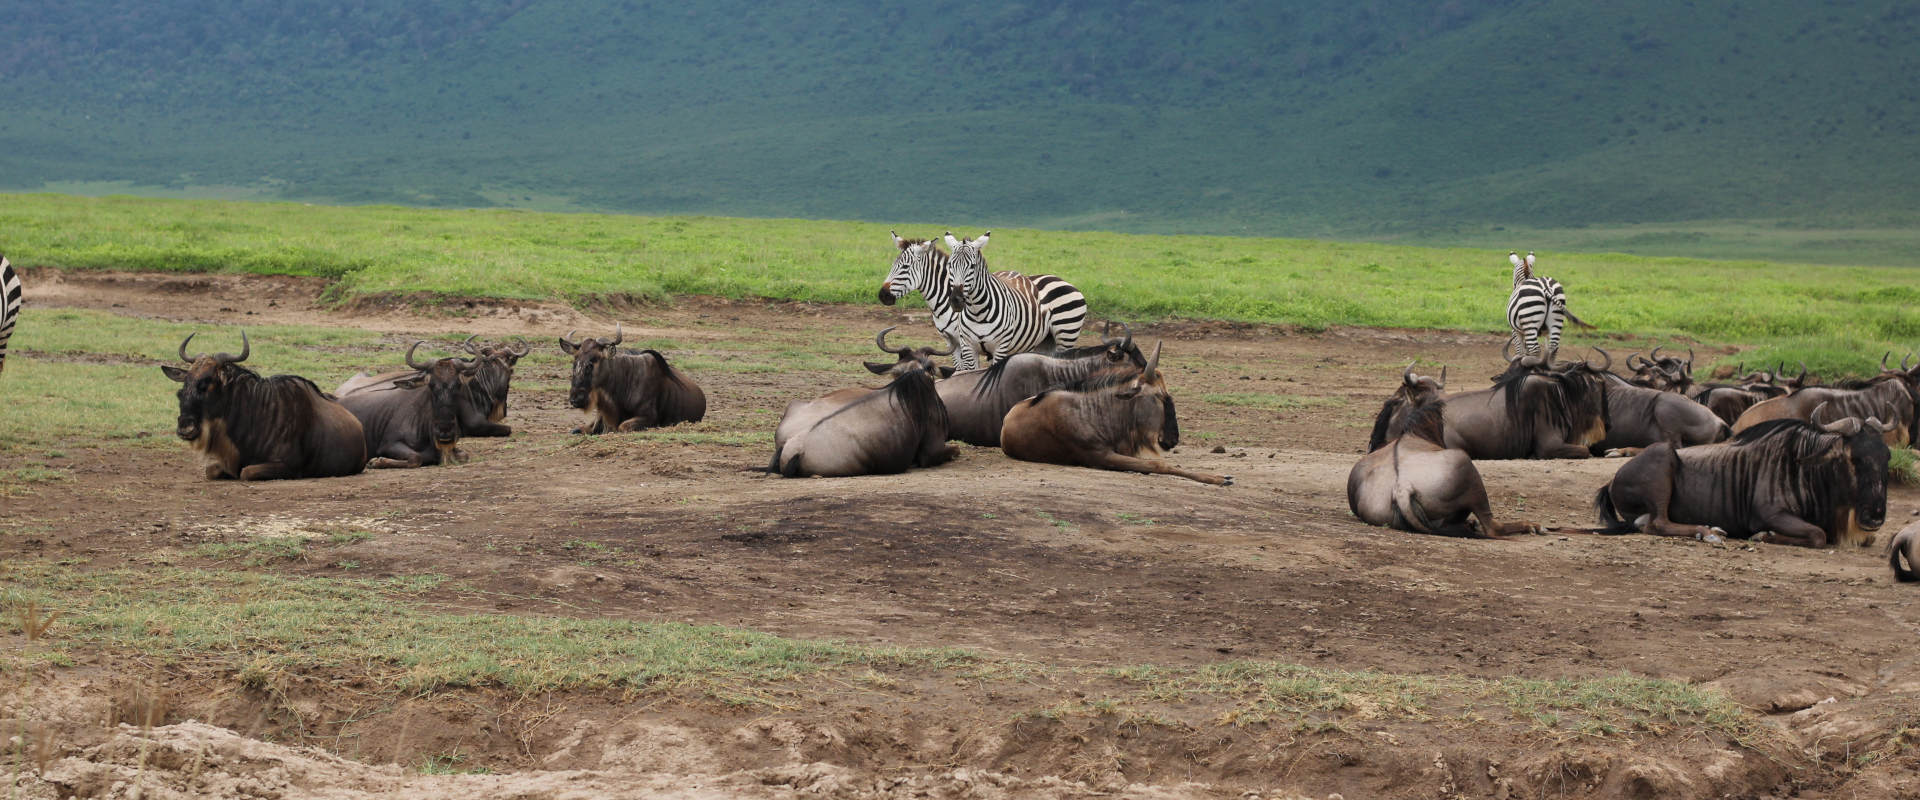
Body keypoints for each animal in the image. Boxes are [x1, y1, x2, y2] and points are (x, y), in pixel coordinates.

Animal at [940, 229, 1082, 370]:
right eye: (950, 265)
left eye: (973, 266)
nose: (956, 300)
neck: (977, 313)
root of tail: (1060, 279)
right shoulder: (968, 348)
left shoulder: (1000, 348)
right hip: (1045, 340)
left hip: (1066, 335)